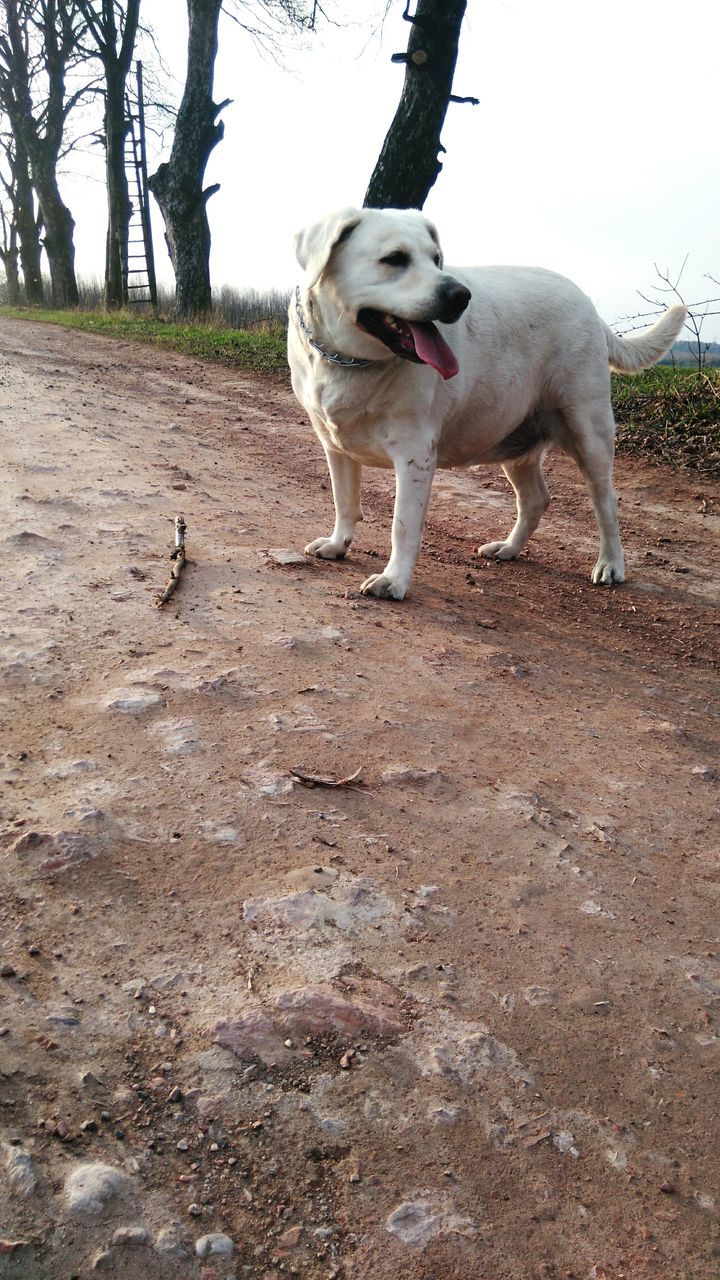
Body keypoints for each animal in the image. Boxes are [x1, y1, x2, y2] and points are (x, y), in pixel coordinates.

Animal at [285, 207, 681, 601]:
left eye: (437, 259)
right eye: (394, 258)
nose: (460, 295)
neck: (352, 361)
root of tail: (589, 305)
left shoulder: (414, 454)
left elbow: (403, 525)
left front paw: (393, 580)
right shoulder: (335, 447)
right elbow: (344, 501)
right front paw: (337, 544)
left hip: (589, 432)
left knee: (606, 503)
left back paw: (611, 564)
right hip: (515, 441)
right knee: (535, 499)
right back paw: (508, 548)